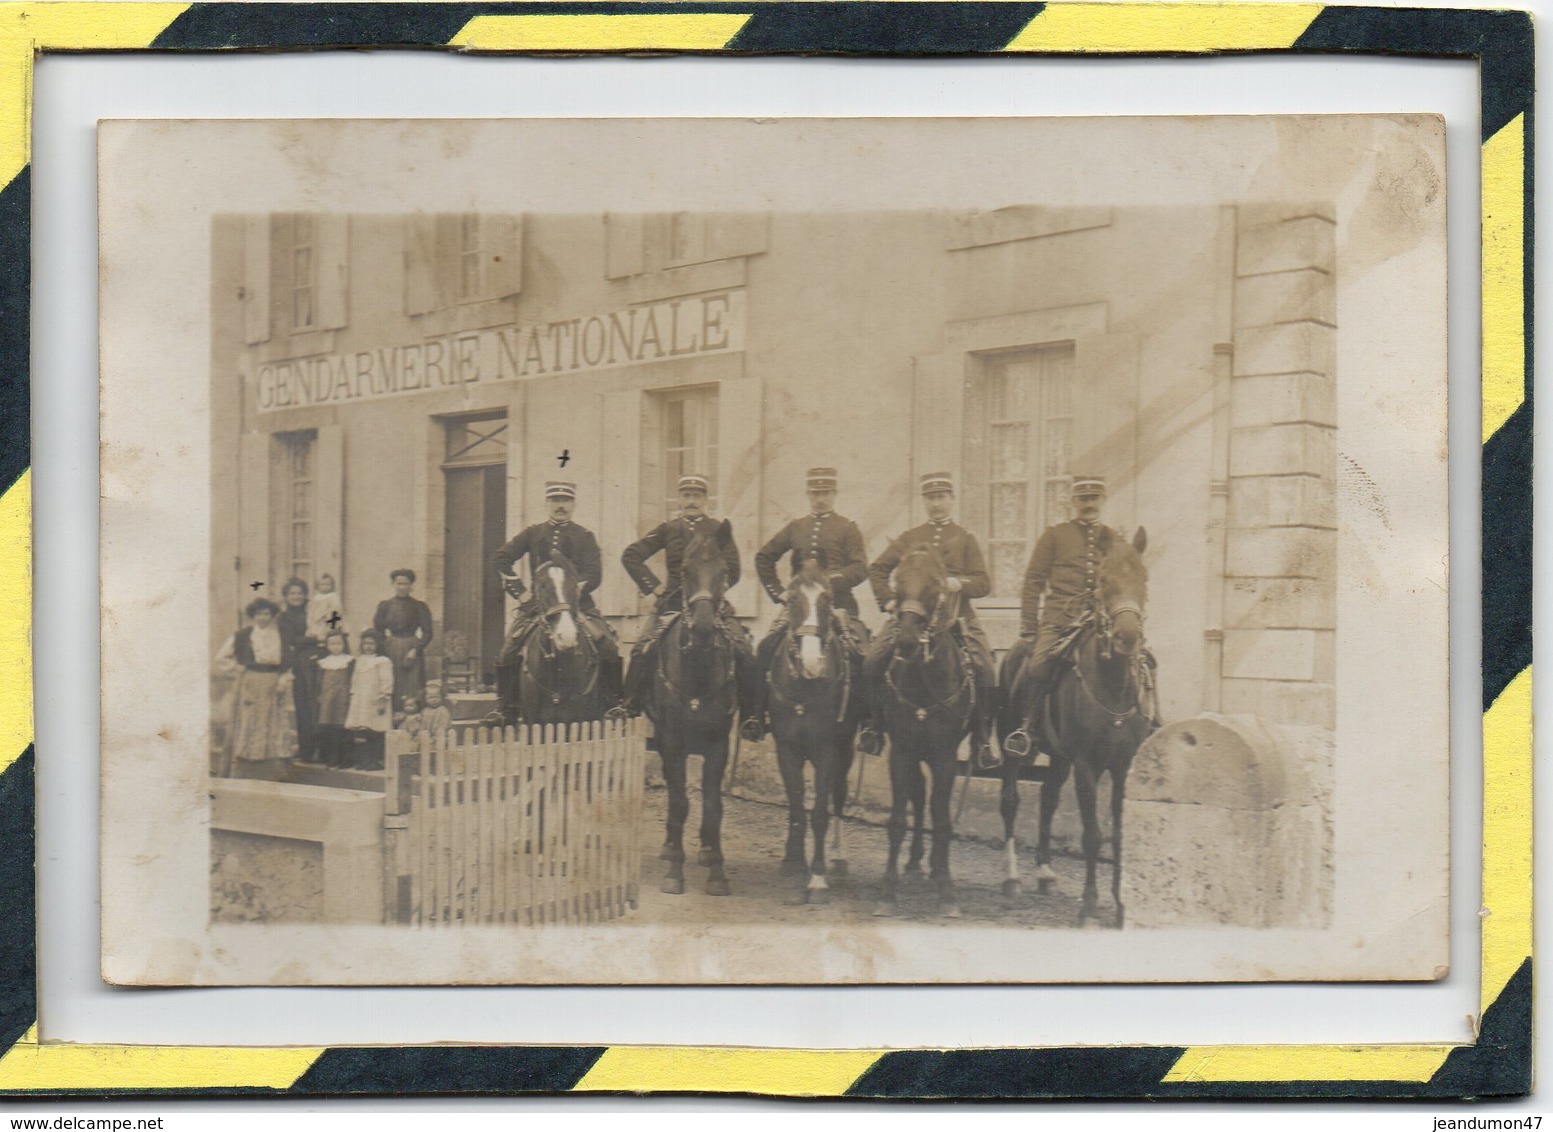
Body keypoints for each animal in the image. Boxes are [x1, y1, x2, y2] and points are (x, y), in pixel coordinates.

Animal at [642, 515, 739, 894]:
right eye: (684, 569)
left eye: (725, 570)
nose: (702, 628)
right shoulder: (672, 741)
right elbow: (680, 802)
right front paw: (674, 872)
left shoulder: (718, 743)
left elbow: (713, 806)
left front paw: (718, 872)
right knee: (673, 792)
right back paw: (671, 847)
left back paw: (708, 850)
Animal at [770, 546, 869, 900]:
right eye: (790, 599)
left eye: (827, 598)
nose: (812, 662)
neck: (805, 686)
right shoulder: (786, 748)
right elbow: (798, 805)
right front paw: (794, 861)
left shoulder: (828, 750)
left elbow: (820, 813)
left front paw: (817, 875)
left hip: (845, 751)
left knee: (837, 797)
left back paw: (837, 857)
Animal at [875, 546, 969, 919]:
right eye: (898, 582)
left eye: (934, 584)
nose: (906, 640)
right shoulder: (901, 752)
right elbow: (898, 819)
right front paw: (888, 891)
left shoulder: (945, 756)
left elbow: (942, 820)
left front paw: (947, 890)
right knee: (917, 796)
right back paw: (915, 862)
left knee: (930, 802)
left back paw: (932, 866)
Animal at [993, 524, 1155, 925]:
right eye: (1104, 580)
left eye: (1143, 578)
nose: (1128, 637)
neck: (1112, 687)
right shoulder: (1086, 765)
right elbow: (1093, 835)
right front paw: (1089, 904)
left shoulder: (1121, 767)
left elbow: (1119, 834)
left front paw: (1120, 904)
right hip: (1015, 748)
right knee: (1010, 801)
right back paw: (1012, 878)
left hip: (1059, 757)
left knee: (1048, 799)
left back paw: (1045, 872)